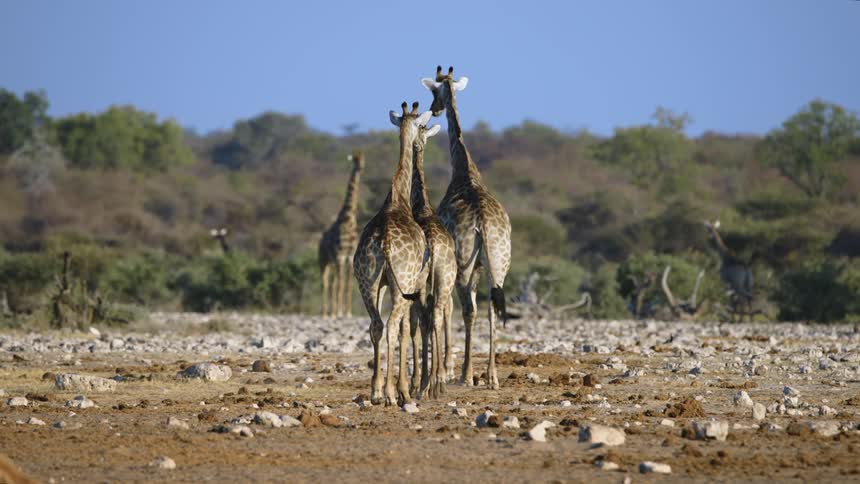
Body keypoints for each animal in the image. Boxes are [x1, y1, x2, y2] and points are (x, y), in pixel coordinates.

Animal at [318, 151, 364, 318]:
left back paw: (331, 312)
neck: (348, 219)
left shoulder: (349, 258)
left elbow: (347, 285)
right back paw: (326, 313)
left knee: (332, 283)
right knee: (325, 283)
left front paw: (347, 312)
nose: (361, 167)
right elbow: (340, 284)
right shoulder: (340, 256)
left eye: (363, 158)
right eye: (355, 160)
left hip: (332, 263)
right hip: (323, 261)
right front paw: (338, 312)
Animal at [354, 102, 431, 406]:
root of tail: (384, 243)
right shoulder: (412, 284)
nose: (419, 144)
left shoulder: (383, 283)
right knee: (391, 325)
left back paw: (375, 391)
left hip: (366, 282)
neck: (397, 199)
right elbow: (405, 332)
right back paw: (389, 393)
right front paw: (402, 389)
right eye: (421, 126)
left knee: (376, 325)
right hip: (403, 284)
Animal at [421, 66, 512, 389]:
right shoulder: (481, 264)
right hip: (499, 259)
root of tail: (482, 222)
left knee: (468, 309)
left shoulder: (453, 260)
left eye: (434, 91)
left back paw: (467, 373)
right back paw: (493, 376)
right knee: (493, 307)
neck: (464, 170)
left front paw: (449, 369)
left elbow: (448, 307)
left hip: (464, 262)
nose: (435, 109)